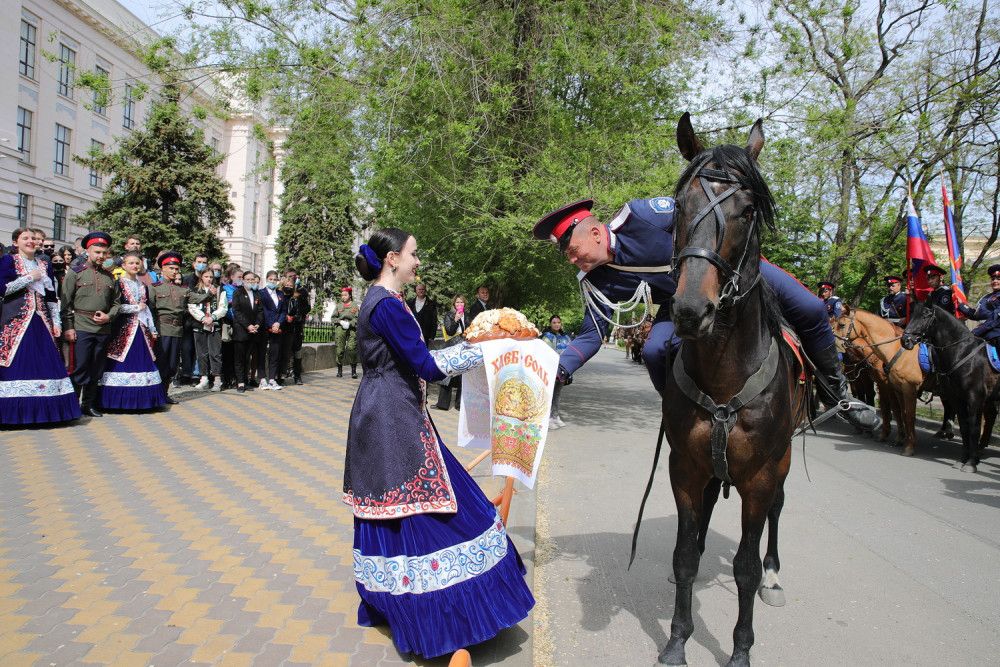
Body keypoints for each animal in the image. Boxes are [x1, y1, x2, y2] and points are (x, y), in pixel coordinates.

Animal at [656, 116, 812, 667]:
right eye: (679, 207)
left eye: (747, 211)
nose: (690, 309)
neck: (724, 375)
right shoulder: (684, 466)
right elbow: (683, 554)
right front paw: (677, 640)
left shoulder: (760, 477)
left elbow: (744, 567)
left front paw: (741, 649)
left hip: (780, 465)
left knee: (778, 513)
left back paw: (775, 575)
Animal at [900, 302, 1000, 470]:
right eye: (912, 314)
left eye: (925, 315)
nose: (905, 340)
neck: (963, 353)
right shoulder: (957, 398)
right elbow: (964, 427)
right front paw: (963, 459)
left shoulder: (975, 399)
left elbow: (973, 428)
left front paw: (971, 463)